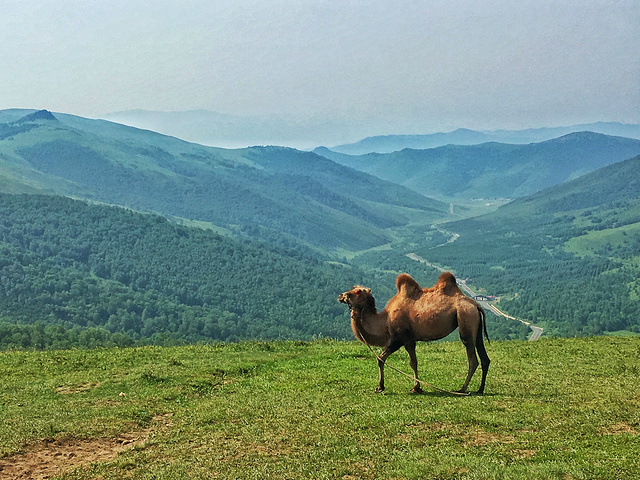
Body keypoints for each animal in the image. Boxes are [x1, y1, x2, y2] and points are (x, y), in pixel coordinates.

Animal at [340, 272, 490, 396]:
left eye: (357, 291)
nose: (341, 296)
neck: (385, 319)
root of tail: (476, 305)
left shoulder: (399, 338)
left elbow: (382, 358)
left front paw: (380, 387)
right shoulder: (410, 340)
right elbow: (414, 362)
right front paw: (416, 387)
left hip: (465, 317)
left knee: (472, 359)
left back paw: (462, 389)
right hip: (474, 324)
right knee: (484, 358)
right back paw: (480, 389)